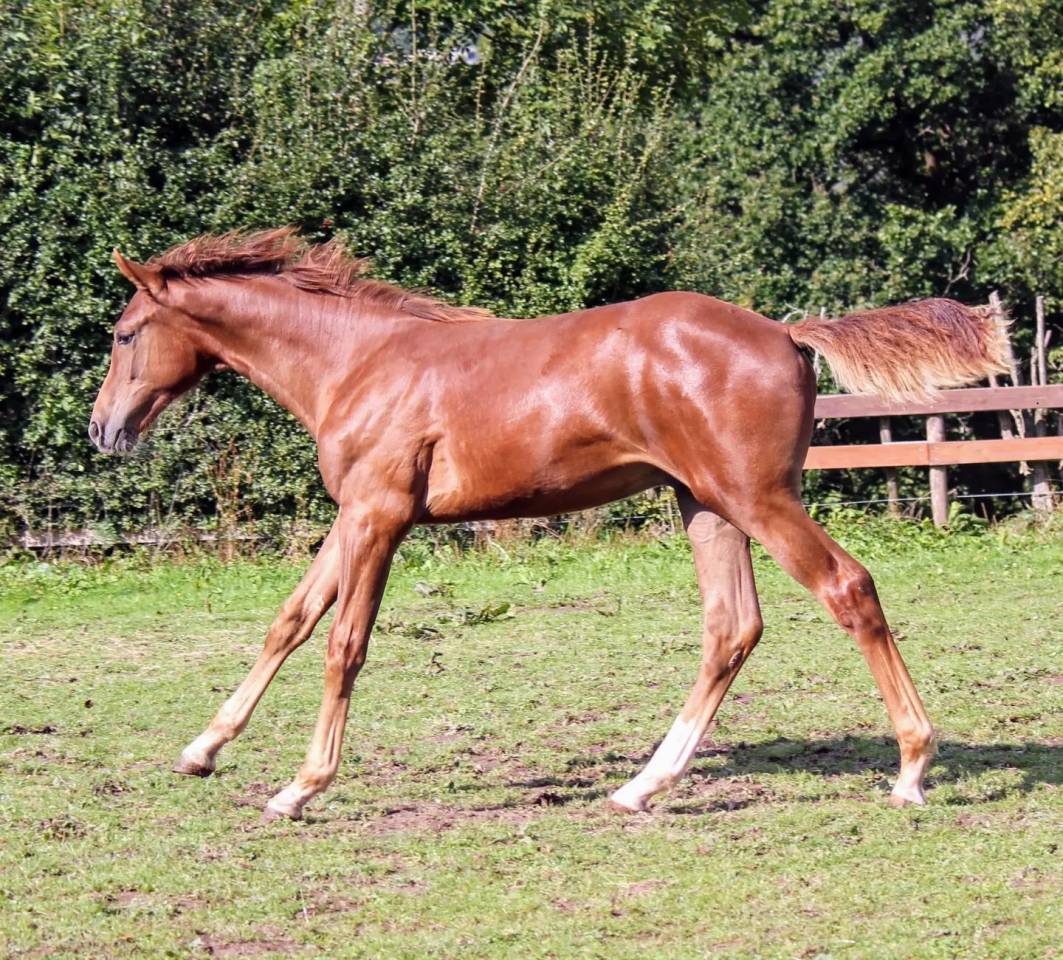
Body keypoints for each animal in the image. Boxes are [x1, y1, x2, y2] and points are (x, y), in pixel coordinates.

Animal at [89, 227, 1008, 822]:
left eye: (127, 334)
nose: (103, 430)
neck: (358, 362)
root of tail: (785, 332)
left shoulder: (380, 513)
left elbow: (344, 642)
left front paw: (300, 787)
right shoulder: (355, 514)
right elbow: (291, 619)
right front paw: (203, 749)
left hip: (757, 498)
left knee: (845, 588)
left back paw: (911, 770)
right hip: (705, 504)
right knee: (732, 627)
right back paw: (640, 786)